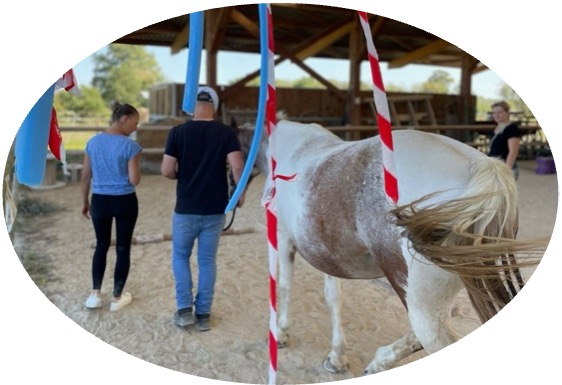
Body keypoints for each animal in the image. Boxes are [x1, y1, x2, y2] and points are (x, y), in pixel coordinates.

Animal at [233, 118, 544, 374]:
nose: (235, 199)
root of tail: (479, 166)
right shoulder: (327, 250)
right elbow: (333, 297)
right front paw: (336, 357)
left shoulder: (283, 236)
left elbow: (284, 286)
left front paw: (280, 332)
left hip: (420, 302)